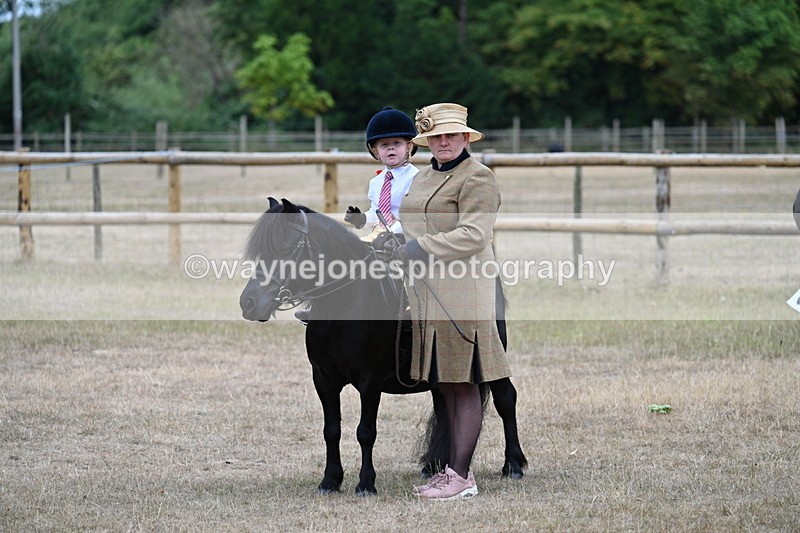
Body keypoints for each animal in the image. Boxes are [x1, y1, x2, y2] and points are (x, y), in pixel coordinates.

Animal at [239, 197, 527, 495]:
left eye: (284, 248)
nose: (249, 302)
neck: (345, 307)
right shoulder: (323, 379)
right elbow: (331, 430)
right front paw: (330, 480)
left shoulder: (370, 381)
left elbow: (366, 432)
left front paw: (366, 483)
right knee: (446, 407)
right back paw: (435, 465)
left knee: (506, 399)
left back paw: (513, 465)